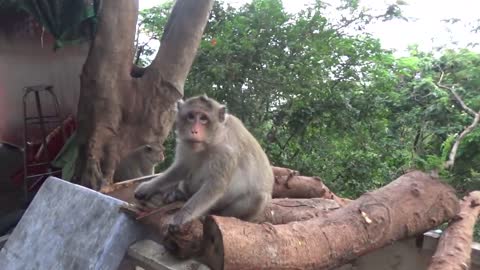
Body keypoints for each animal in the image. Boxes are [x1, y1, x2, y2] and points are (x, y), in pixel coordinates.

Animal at [135, 94, 274, 229]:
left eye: (203, 118)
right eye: (191, 116)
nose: (194, 131)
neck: (212, 140)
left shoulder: (226, 152)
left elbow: (215, 185)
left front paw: (182, 216)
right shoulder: (185, 144)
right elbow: (182, 168)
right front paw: (149, 187)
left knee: (259, 197)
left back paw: (211, 214)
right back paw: (180, 194)